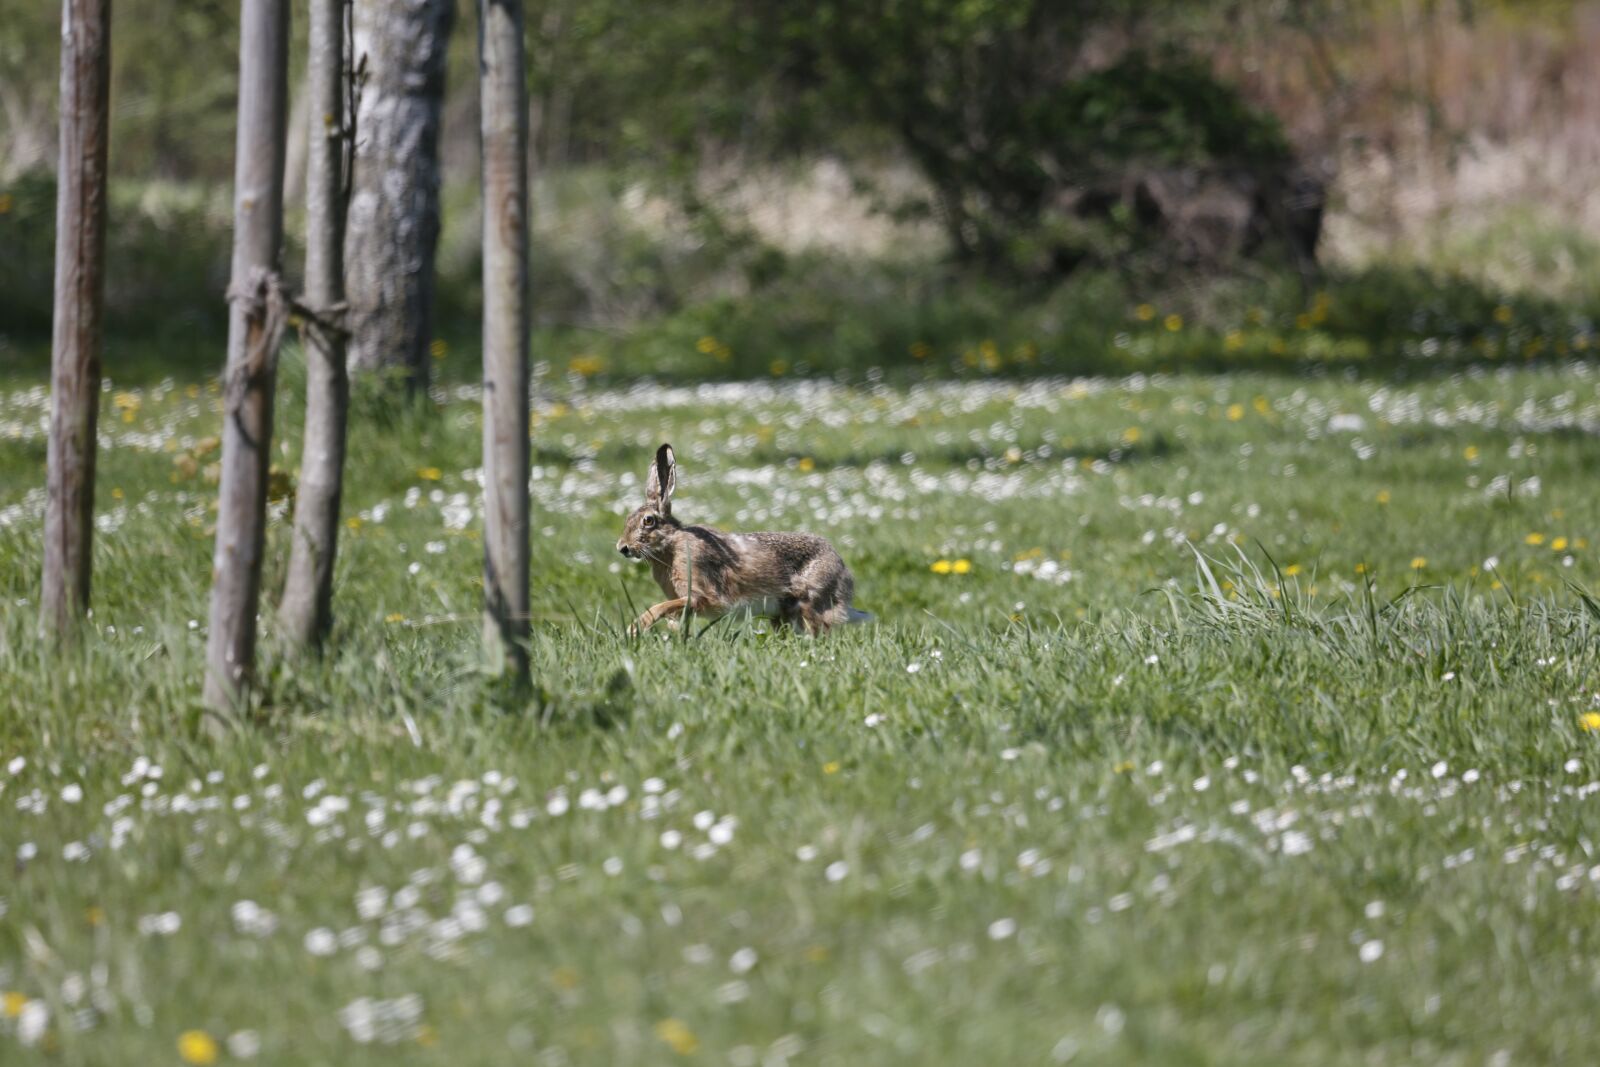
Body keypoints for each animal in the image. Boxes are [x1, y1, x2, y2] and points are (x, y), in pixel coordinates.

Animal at [617, 444, 868, 635]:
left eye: (648, 521)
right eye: (628, 518)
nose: (622, 548)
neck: (671, 544)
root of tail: (843, 570)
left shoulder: (701, 595)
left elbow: (663, 606)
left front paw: (635, 628)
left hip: (810, 601)